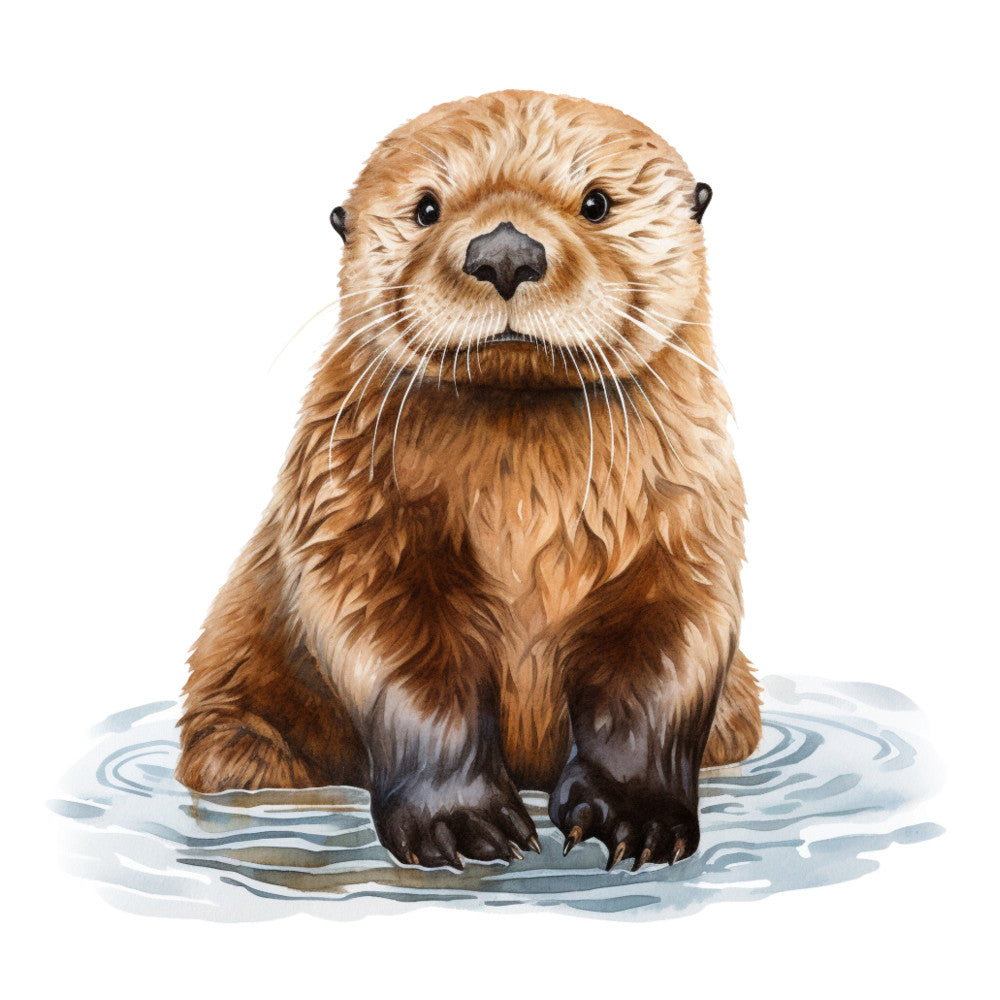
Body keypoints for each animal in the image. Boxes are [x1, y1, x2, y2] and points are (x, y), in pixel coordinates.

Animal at [176, 91, 761, 872]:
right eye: (427, 208)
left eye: (597, 203)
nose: (505, 251)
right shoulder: (354, 519)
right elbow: (406, 665)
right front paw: (461, 823)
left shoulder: (683, 522)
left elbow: (662, 661)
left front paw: (637, 818)